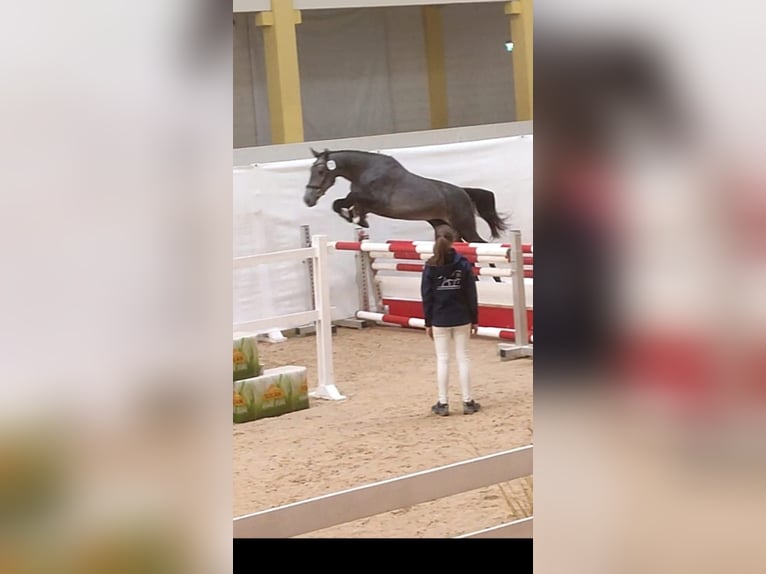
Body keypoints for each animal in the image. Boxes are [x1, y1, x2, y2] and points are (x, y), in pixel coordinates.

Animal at [302, 148, 510, 243]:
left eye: (320, 171)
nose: (308, 199)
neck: (365, 170)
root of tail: (464, 192)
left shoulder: (375, 201)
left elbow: (346, 200)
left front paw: (355, 218)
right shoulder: (366, 203)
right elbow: (344, 203)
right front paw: (358, 219)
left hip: (465, 227)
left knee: (482, 245)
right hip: (445, 228)